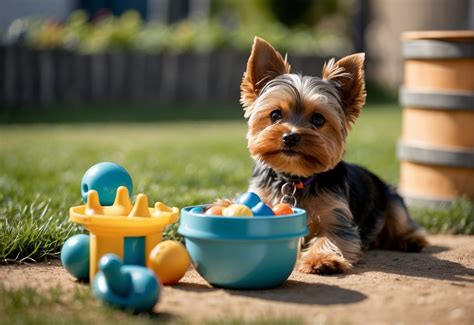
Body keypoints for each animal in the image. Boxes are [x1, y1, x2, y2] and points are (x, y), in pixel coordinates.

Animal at [239, 37, 428, 274]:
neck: (294, 178)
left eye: (318, 119)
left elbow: (333, 237)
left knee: (402, 221)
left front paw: (322, 259)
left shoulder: (337, 217)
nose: (290, 137)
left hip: (392, 199)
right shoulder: (261, 196)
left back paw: (411, 240)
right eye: (275, 115)